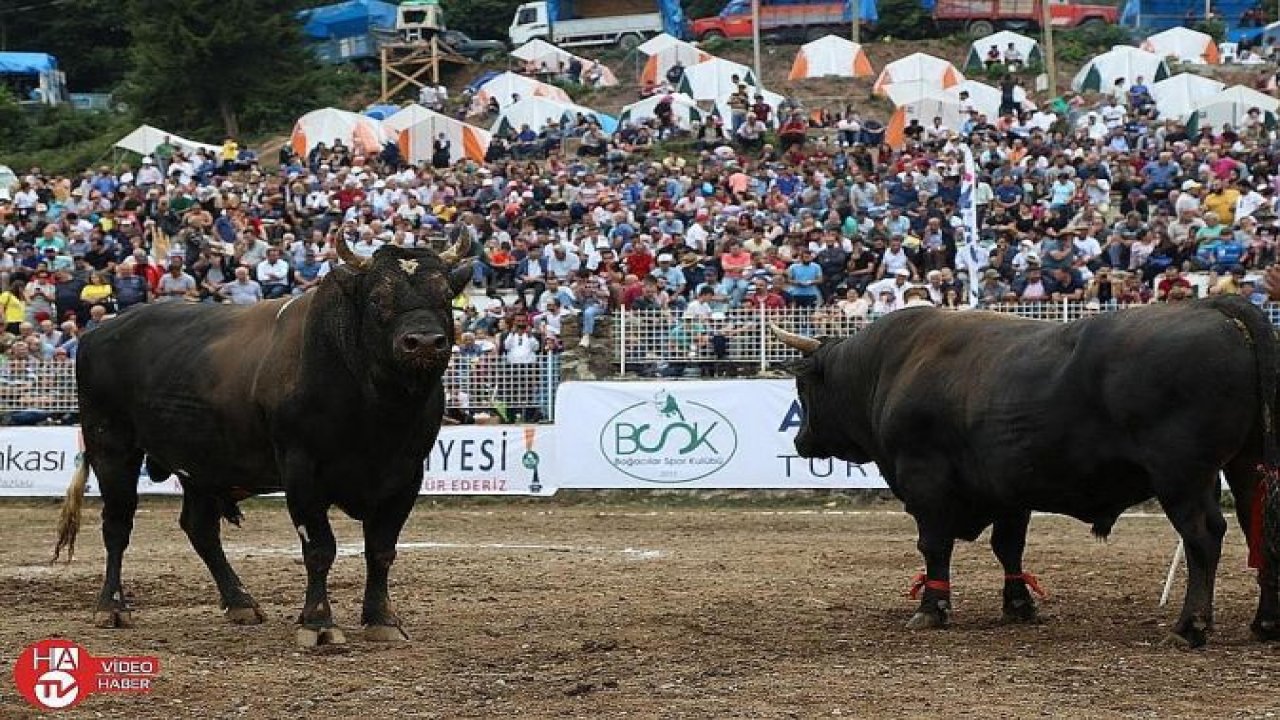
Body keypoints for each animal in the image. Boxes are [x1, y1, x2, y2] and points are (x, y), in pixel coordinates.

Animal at [53, 235, 476, 645]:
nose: (424, 342)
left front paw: (381, 619)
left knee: (200, 529)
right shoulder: (301, 469)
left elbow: (381, 549)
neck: (378, 410)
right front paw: (318, 623)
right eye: (377, 299)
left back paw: (240, 602)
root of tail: (99, 331)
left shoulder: (405, 475)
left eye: (445, 296)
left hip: (200, 466)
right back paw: (111, 607)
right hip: (111, 447)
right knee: (117, 525)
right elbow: (319, 548)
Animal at [773, 294, 1280, 648]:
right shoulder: (1008, 490)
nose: (801, 442)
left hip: (1183, 476)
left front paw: (933, 608)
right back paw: (1265, 622)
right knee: (1260, 531)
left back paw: (1189, 626)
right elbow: (1009, 547)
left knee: (1203, 537)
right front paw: (1018, 604)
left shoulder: (926, 482)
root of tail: (1211, 305)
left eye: (803, 387)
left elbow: (934, 546)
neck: (890, 366)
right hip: (1247, 466)